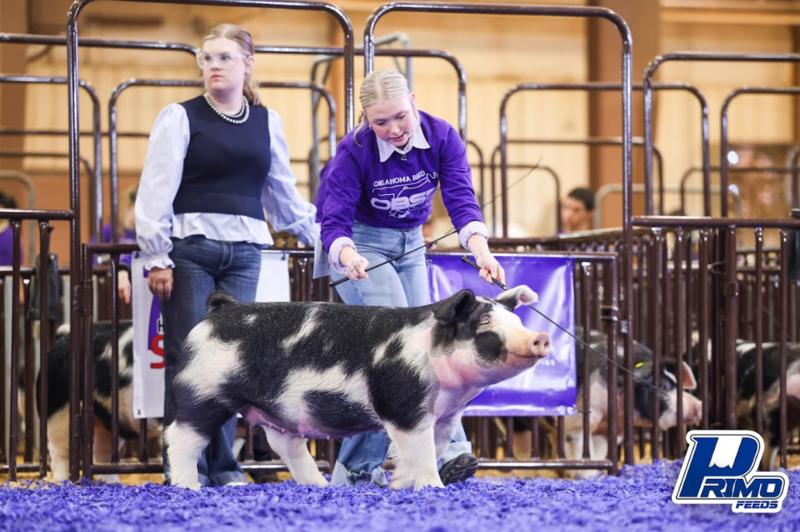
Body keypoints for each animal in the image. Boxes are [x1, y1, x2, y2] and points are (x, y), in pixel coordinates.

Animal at [39, 322, 161, 482]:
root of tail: (62, 337)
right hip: (57, 408)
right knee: (59, 450)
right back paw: (61, 480)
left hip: (108, 427)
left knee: (102, 455)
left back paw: (113, 483)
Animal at [165, 286, 551, 490]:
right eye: (484, 322)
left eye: (516, 320)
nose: (541, 336)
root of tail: (219, 309)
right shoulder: (402, 404)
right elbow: (420, 449)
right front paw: (432, 488)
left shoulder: (445, 416)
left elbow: (431, 448)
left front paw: (400, 485)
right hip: (202, 393)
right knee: (179, 438)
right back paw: (187, 487)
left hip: (275, 412)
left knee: (287, 445)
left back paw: (319, 486)